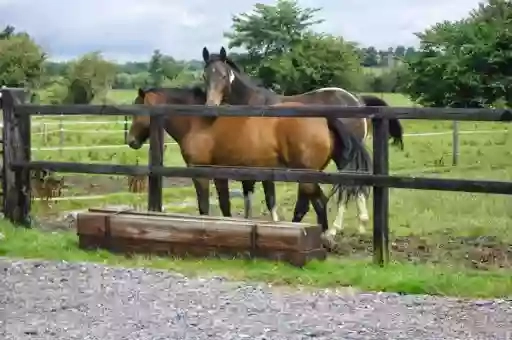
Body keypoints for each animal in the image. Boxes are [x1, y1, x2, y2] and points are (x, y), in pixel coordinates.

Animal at [126, 86, 278, 220]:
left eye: (137, 110)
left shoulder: (200, 173)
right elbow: (225, 207)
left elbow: (204, 207)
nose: (131, 141)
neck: (197, 123)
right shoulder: (219, 176)